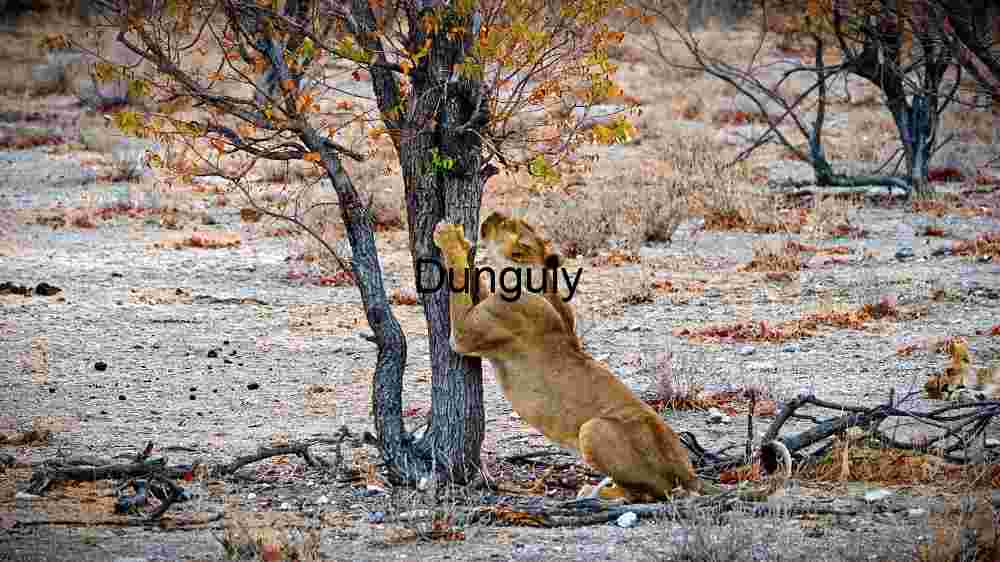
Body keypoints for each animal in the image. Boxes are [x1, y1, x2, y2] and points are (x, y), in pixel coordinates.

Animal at [432, 211, 791, 502]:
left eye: (509, 226)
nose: (493, 214)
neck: (538, 281)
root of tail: (688, 471)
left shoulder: (465, 335)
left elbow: (461, 282)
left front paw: (451, 238)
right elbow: (474, 281)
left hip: (594, 429)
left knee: (648, 494)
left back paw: (597, 492)